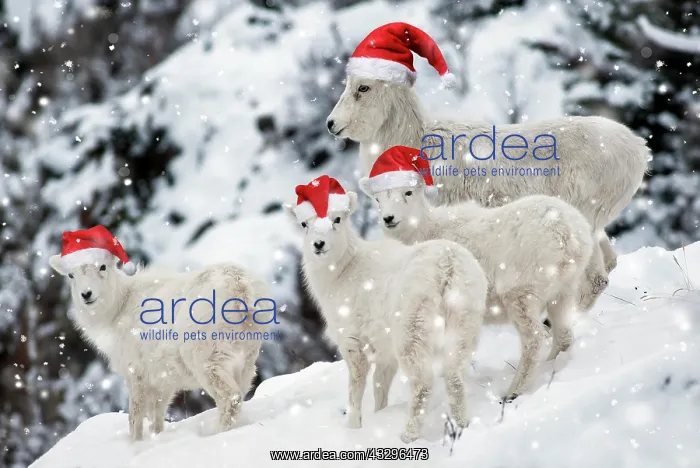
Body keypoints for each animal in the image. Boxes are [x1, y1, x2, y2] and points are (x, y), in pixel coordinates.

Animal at [49, 254, 272, 441]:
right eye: (71, 275)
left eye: (103, 267)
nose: (86, 294)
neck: (118, 309)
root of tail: (241, 288)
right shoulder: (162, 382)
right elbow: (156, 417)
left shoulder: (136, 373)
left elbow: (135, 417)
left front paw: (136, 445)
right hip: (245, 359)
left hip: (205, 358)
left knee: (229, 399)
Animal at [284, 175, 488, 443]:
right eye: (304, 224)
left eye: (338, 219)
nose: (319, 244)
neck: (342, 272)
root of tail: (447, 267)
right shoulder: (384, 351)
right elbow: (380, 387)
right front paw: (379, 415)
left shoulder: (352, 341)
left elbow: (357, 388)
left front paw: (354, 428)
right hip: (464, 324)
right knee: (455, 376)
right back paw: (462, 427)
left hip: (412, 333)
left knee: (423, 383)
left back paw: (408, 436)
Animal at [358, 154, 594, 400]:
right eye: (377, 198)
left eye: (408, 192)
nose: (389, 218)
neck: (423, 231)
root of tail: (566, 234)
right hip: (564, 289)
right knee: (563, 333)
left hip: (521, 291)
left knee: (534, 339)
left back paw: (512, 392)